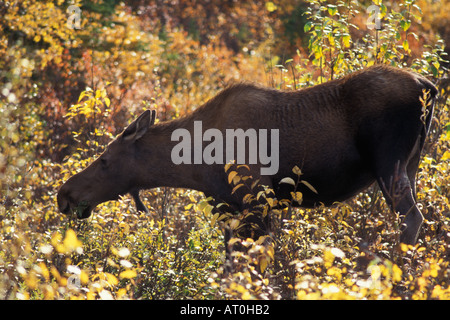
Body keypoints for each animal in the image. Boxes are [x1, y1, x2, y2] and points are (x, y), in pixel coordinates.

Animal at [58, 65, 438, 245]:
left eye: (105, 160)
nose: (64, 195)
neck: (193, 163)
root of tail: (429, 86)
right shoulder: (227, 205)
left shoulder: (258, 198)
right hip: (412, 165)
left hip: (389, 164)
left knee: (412, 219)